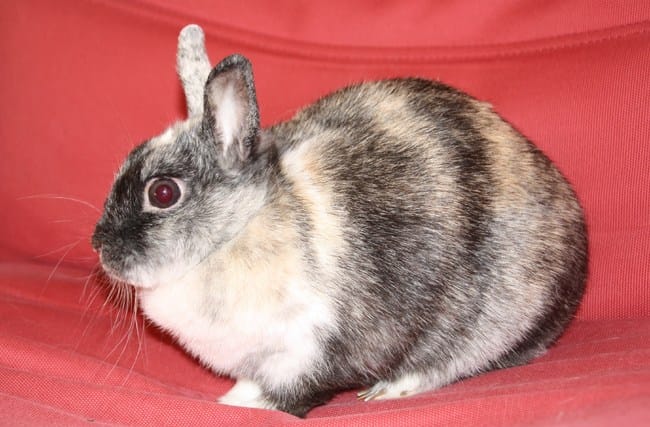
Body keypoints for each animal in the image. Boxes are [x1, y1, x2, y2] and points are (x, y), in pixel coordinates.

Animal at [92, 24, 588, 417]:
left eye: (163, 193)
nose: (99, 245)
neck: (241, 227)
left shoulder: (306, 347)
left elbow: (290, 392)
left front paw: (243, 405)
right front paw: (235, 396)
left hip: (492, 321)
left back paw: (390, 389)